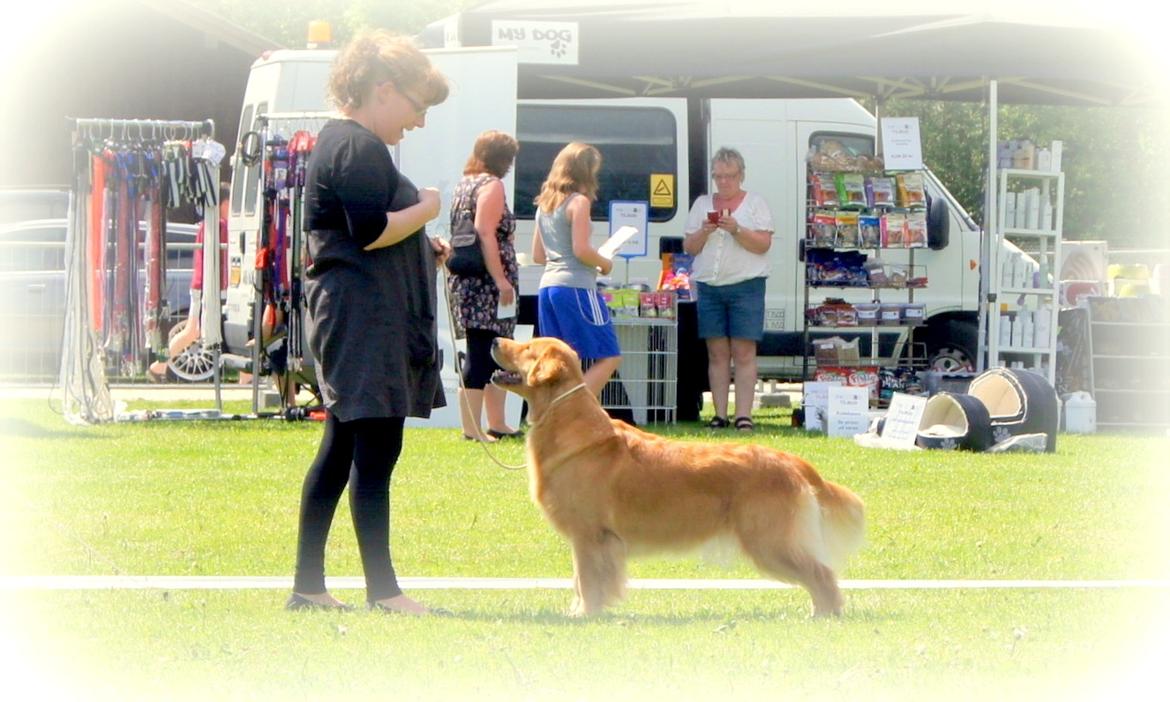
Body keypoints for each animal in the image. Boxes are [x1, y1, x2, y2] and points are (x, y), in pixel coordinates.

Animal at [489, 336, 865, 617]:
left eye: (526, 347)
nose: (493, 339)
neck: (564, 418)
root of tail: (791, 461)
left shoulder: (590, 535)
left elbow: (586, 580)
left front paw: (585, 615)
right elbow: (580, 582)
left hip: (769, 540)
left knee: (822, 574)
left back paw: (823, 615)